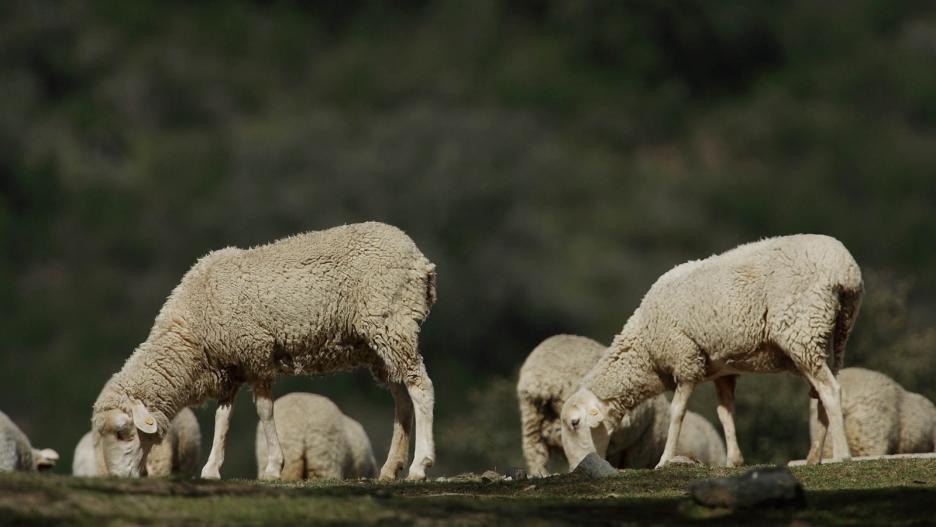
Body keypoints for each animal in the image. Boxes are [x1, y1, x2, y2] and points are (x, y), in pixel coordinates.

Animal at [89, 223, 436, 482]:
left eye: (122, 432)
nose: (116, 478)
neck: (191, 336)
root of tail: (419, 259)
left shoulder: (254, 353)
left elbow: (265, 411)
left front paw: (273, 467)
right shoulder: (230, 366)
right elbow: (223, 418)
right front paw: (212, 469)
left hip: (393, 323)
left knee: (421, 388)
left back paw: (420, 466)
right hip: (379, 345)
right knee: (402, 400)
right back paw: (391, 469)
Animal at [556, 235, 864, 470]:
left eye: (575, 423)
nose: (576, 468)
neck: (646, 347)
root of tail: (845, 270)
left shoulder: (685, 359)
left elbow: (677, 412)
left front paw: (664, 460)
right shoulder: (722, 371)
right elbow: (725, 413)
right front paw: (734, 461)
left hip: (803, 330)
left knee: (830, 390)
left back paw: (841, 455)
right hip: (834, 336)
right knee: (822, 392)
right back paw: (813, 457)